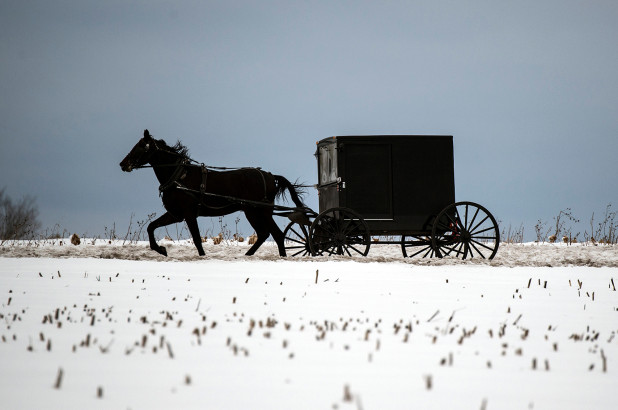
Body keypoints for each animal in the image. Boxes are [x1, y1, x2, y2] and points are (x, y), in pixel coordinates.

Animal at [119, 130, 304, 256]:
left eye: (142, 147)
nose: (123, 164)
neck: (179, 176)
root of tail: (270, 176)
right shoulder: (175, 214)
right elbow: (151, 226)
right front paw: (160, 249)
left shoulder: (188, 214)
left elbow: (196, 239)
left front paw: (201, 256)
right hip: (253, 212)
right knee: (264, 234)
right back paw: (249, 255)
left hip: (261, 211)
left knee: (277, 235)